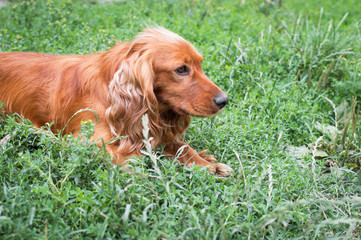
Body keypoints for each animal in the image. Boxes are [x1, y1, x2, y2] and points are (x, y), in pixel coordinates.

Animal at [0, 27, 232, 176]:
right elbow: (130, 158)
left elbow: (181, 145)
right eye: (182, 69)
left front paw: (206, 163)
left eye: (200, 64)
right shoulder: (87, 142)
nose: (224, 100)